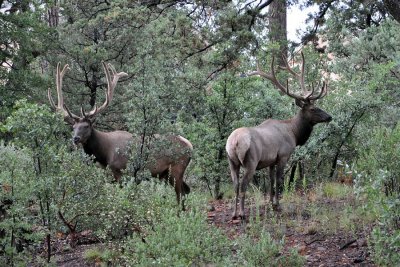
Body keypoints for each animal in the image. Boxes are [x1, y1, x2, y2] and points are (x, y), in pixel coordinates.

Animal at [48, 61, 194, 206]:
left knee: (180, 195)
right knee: (187, 190)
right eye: (73, 127)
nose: (76, 138)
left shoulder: (120, 171)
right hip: (166, 174)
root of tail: (190, 145)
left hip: (177, 168)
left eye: (86, 126)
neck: (104, 154)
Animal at [227, 52, 332, 220]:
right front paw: (277, 204)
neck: (294, 133)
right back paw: (242, 213)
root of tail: (234, 142)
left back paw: (234, 213)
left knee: (235, 184)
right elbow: (279, 180)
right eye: (313, 108)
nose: (329, 117)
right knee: (243, 184)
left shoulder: (270, 160)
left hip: (231, 161)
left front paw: (271, 203)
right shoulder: (283, 155)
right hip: (251, 160)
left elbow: (271, 180)